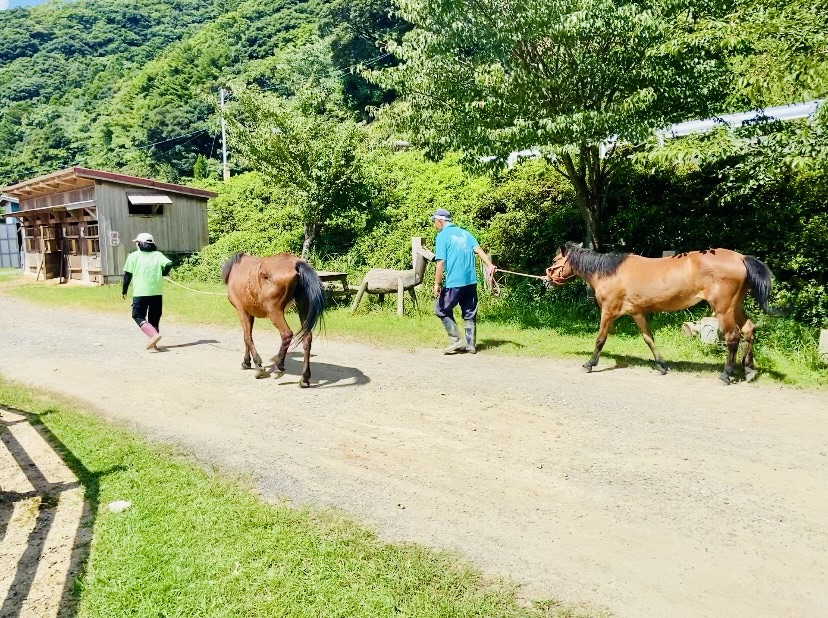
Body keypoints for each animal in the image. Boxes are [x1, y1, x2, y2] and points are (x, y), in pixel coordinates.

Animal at [222, 250, 326, 384]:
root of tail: (296, 264)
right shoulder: (250, 313)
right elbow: (248, 337)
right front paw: (246, 362)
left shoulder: (242, 311)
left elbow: (247, 337)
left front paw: (258, 366)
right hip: (303, 307)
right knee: (307, 338)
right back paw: (304, 378)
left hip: (274, 312)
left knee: (287, 334)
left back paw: (279, 367)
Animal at [548, 243, 772, 382]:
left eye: (555, 260)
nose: (547, 278)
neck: (610, 273)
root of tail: (741, 258)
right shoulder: (637, 313)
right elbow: (649, 338)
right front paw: (662, 365)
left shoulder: (608, 312)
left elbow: (600, 339)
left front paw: (589, 364)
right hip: (736, 307)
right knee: (749, 330)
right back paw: (749, 370)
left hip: (724, 309)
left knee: (733, 337)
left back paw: (726, 374)